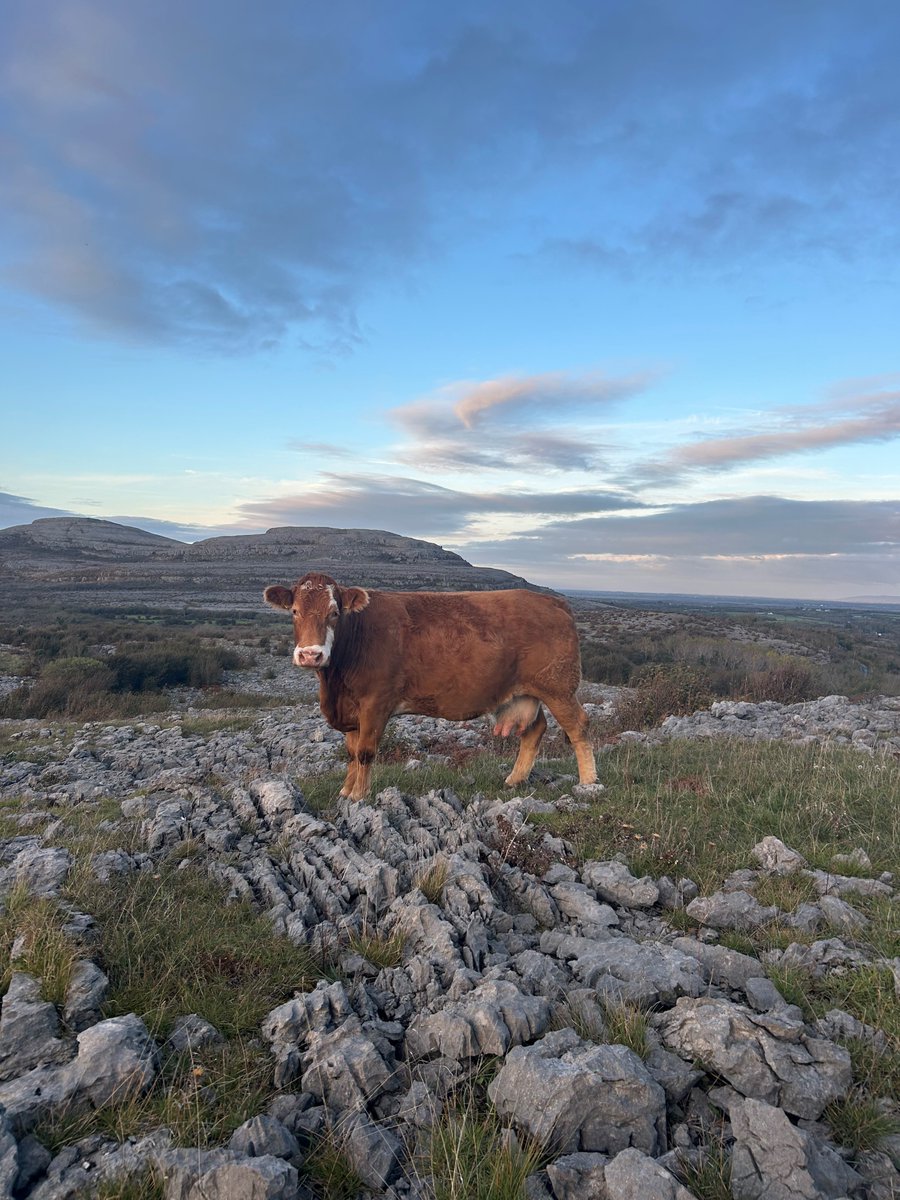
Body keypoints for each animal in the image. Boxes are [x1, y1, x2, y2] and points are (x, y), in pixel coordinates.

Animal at [264, 572, 598, 801]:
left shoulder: (375, 702)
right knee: (534, 729)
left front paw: (359, 795)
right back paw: (515, 779)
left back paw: (588, 782)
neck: (335, 682)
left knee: (578, 726)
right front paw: (346, 791)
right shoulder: (350, 709)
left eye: (334, 613)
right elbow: (350, 752)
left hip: (558, 687)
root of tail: (553, 601)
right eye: (294, 612)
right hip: (523, 693)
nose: (310, 654)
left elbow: (365, 752)